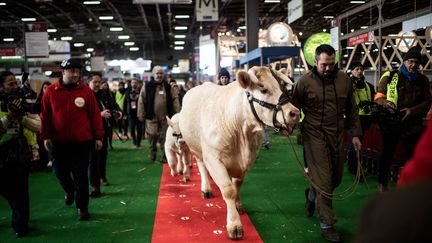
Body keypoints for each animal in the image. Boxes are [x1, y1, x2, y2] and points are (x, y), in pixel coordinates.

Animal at [179, 66, 300, 239]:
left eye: (283, 87)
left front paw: (238, 205)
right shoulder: (214, 158)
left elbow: (237, 185)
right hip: (197, 150)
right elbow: (228, 190)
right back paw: (206, 189)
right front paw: (234, 224)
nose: (295, 112)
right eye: (263, 89)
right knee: (202, 167)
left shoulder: (247, 161)